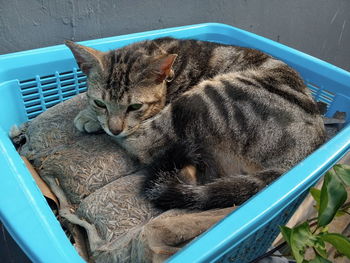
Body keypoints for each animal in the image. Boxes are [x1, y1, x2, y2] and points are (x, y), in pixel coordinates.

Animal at [65, 36, 326, 210]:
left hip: (205, 98)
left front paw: (89, 119)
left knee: (143, 144)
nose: (114, 128)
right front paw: (90, 114)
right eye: (100, 102)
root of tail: (296, 161)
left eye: (135, 107)